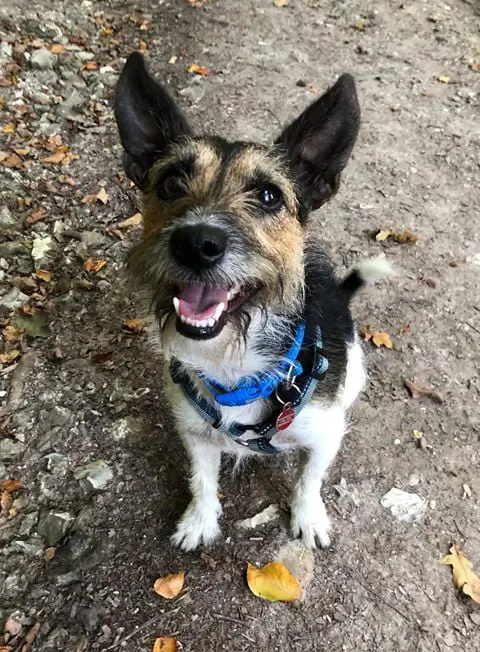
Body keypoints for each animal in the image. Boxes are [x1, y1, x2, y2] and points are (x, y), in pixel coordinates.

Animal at [113, 52, 390, 552]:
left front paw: (308, 516)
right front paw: (199, 521)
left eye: (268, 195)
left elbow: (309, 479)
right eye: (171, 183)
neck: (233, 364)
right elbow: (202, 480)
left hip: (354, 369)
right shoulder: (195, 433)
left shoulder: (324, 435)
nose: (197, 243)